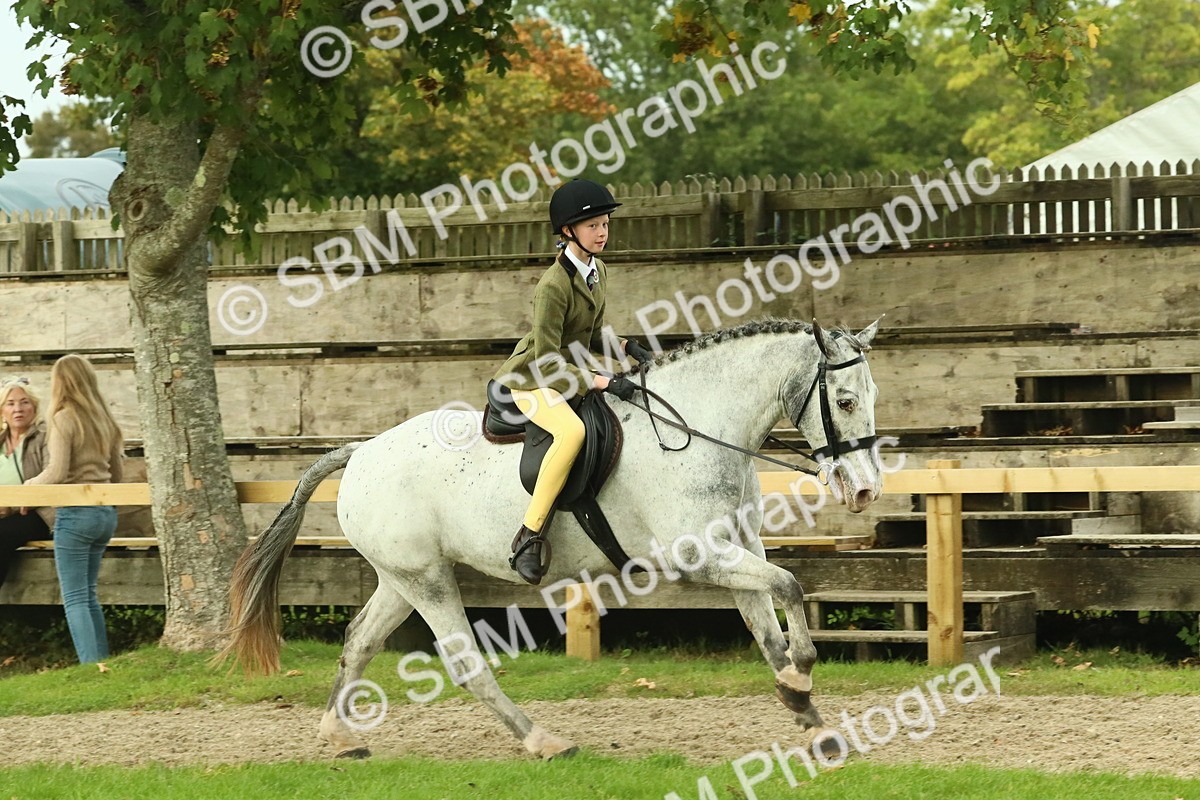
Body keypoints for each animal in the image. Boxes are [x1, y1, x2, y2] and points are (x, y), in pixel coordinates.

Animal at [220, 318, 883, 760]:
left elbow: (769, 627)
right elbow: (791, 587)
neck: (695, 429)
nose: (866, 491)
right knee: (466, 663)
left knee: (359, 641)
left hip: (401, 577)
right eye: (846, 400)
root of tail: (359, 452)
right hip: (427, 580)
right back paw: (542, 740)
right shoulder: (699, 556)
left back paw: (338, 736)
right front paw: (801, 680)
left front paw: (811, 719)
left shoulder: (734, 551)